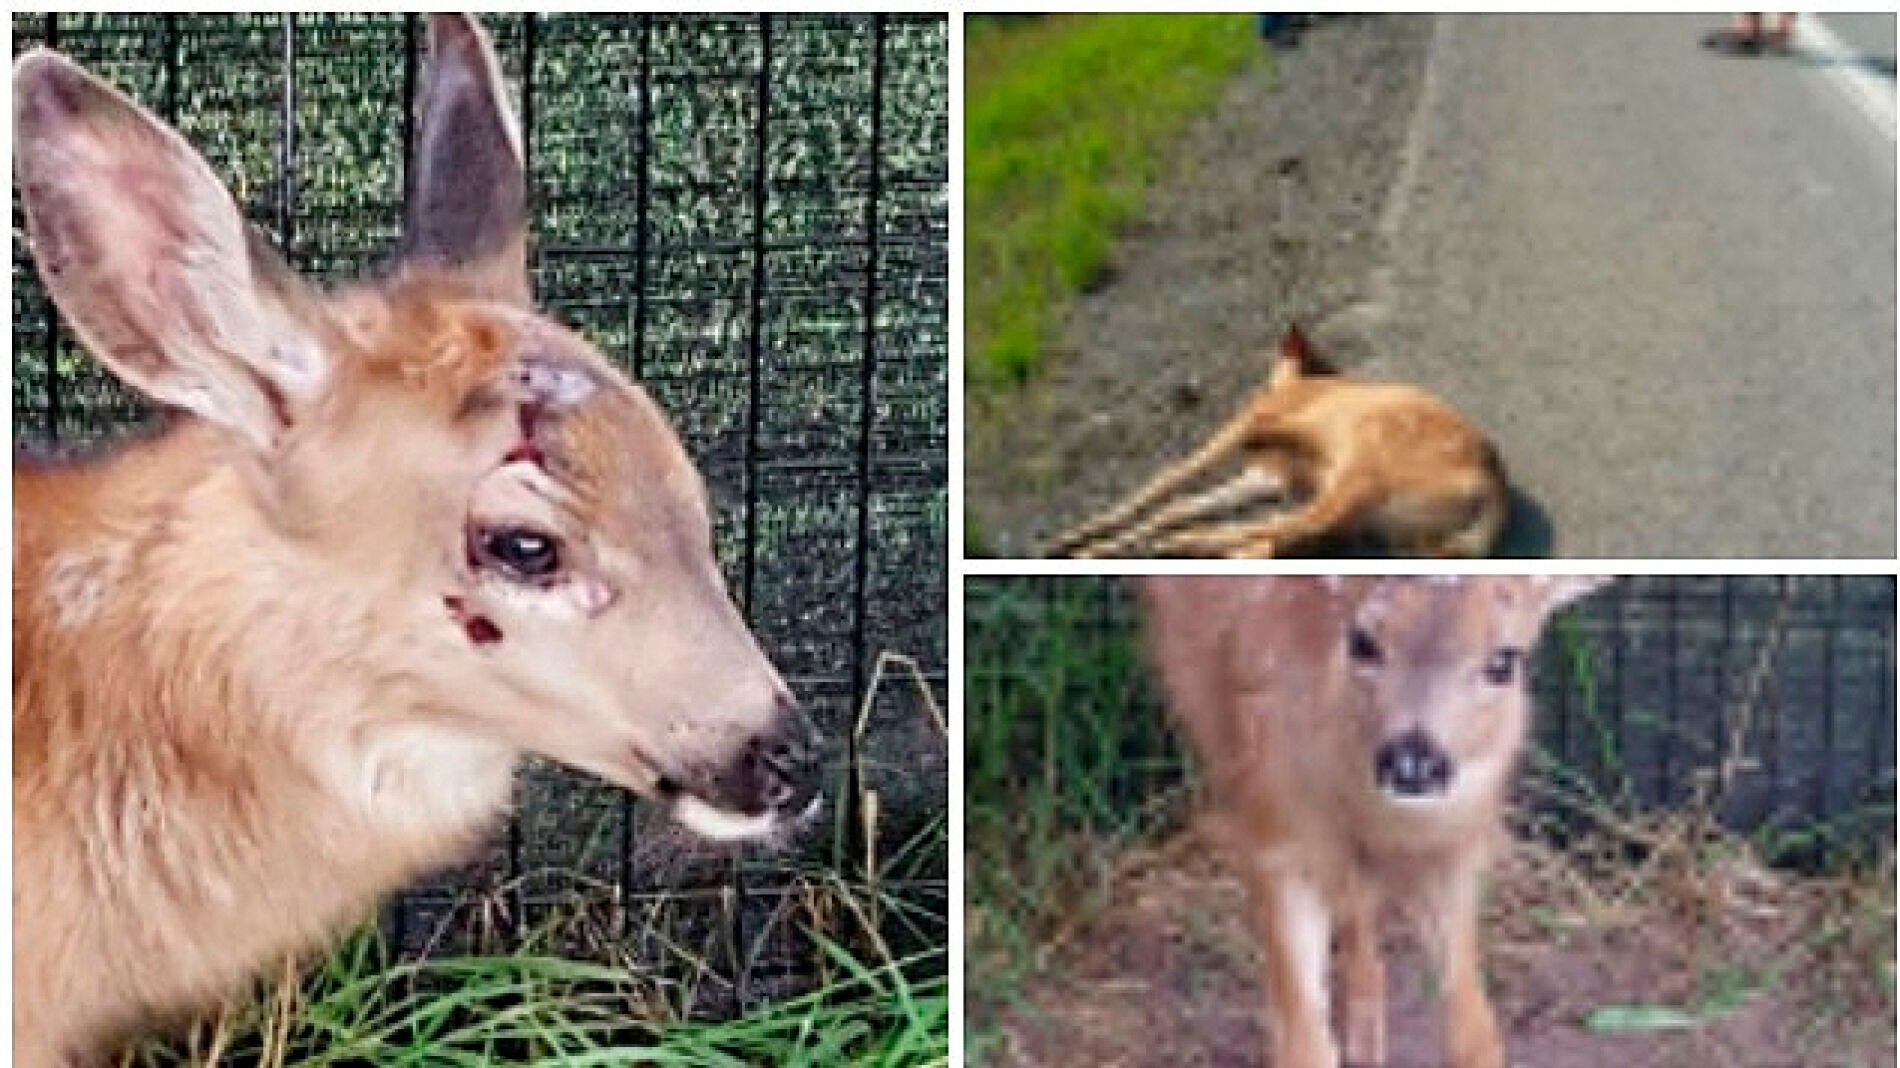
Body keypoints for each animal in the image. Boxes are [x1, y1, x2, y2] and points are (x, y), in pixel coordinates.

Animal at [1050, 326, 1510, 559]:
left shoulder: (1245, 425)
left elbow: (1167, 480)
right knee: (1273, 539)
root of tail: (1495, 491)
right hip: (1383, 528)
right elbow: (1178, 504)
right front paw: (1105, 540)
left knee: (1275, 530)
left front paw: (1088, 536)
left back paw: (1175, 545)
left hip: (1359, 481)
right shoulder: (1266, 478)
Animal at [1136, 575, 1609, 1068]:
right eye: (1363, 642)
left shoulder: (1454, 850)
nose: (1412, 762)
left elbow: (1476, 1031)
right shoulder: (1277, 829)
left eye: (1504, 661)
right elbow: (1305, 1040)